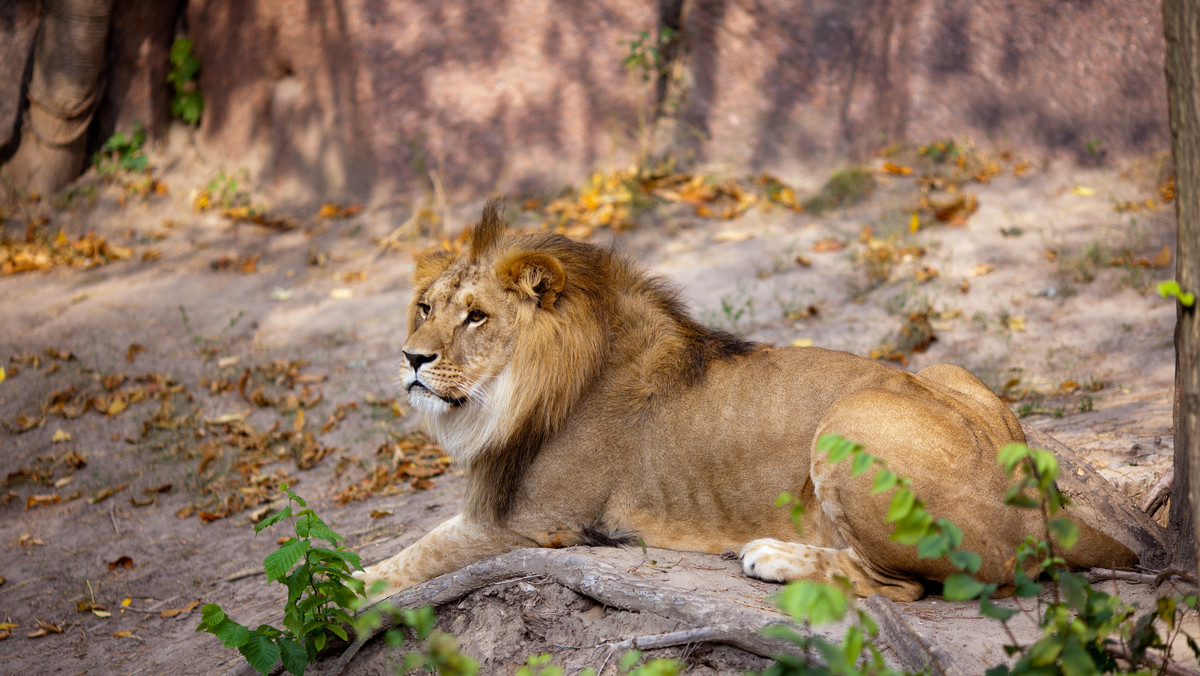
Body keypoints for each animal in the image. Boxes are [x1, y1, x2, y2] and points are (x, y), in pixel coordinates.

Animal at [352, 198, 1132, 600]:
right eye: (424, 308)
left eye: (476, 317)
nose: (412, 360)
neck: (512, 396)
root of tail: (1042, 512)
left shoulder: (534, 524)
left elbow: (411, 557)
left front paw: (342, 595)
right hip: (951, 373)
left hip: (853, 416)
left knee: (903, 585)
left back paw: (775, 558)